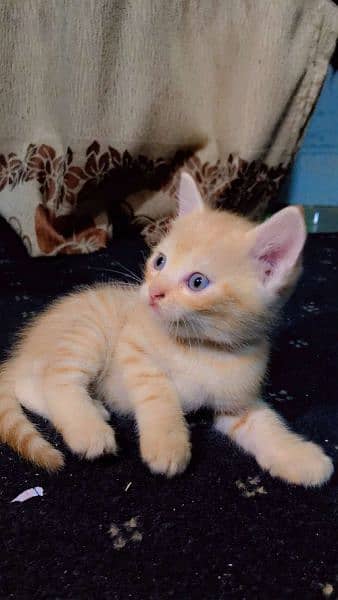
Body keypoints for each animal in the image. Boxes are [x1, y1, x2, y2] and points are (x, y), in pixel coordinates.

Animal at [0, 173, 332, 488]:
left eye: (197, 282)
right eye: (160, 261)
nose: (153, 292)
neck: (202, 348)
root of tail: (23, 347)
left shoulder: (237, 403)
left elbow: (266, 425)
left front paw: (300, 458)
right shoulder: (133, 346)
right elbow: (158, 393)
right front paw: (166, 443)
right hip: (88, 331)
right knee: (49, 380)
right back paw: (89, 427)